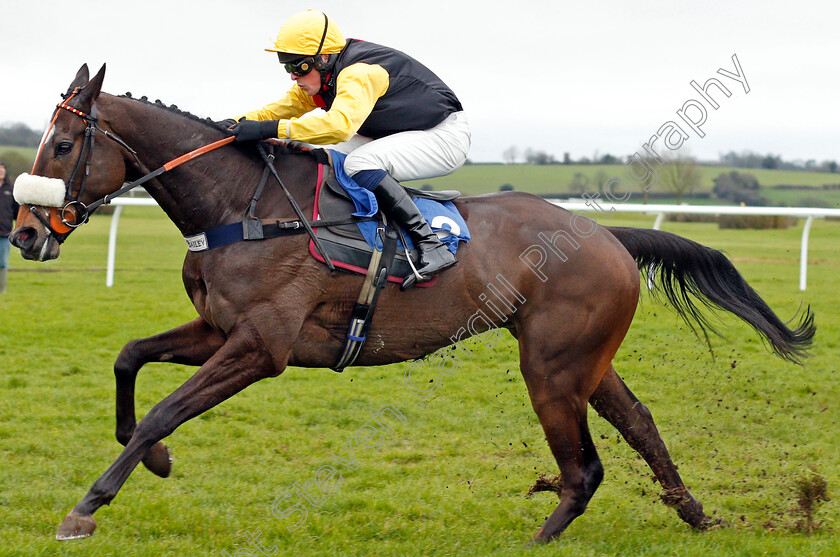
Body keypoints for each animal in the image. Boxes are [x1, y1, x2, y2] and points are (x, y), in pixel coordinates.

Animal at [11, 64, 812, 540]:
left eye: (62, 145)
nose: (23, 233)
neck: (243, 204)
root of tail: (604, 234)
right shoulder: (220, 330)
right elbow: (128, 360)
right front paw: (156, 459)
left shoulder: (261, 348)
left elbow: (164, 408)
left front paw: (88, 506)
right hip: (583, 358)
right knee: (640, 425)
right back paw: (695, 513)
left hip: (551, 366)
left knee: (585, 467)